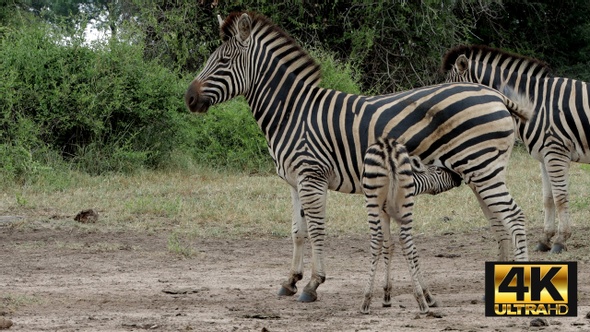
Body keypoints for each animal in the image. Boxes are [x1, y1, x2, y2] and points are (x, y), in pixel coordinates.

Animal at [360, 137, 462, 314]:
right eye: (439, 170)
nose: (459, 178)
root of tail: (387, 147)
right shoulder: (390, 214)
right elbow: (406, 249)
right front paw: (425, 295)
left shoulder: (384, 213)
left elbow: (388, 246)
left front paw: (387, 295)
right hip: (405, 204)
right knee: (405, 240)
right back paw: (422, 302)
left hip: (374, 200)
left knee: (378, 239)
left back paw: (367, 301)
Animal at [444, 45, 590, 254]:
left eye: (452, 91)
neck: (534, 104)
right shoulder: (545, 157)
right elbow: (548, 198)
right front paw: (545, 239)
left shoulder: (556, 153)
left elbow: (560, 198)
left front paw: (560, 240)